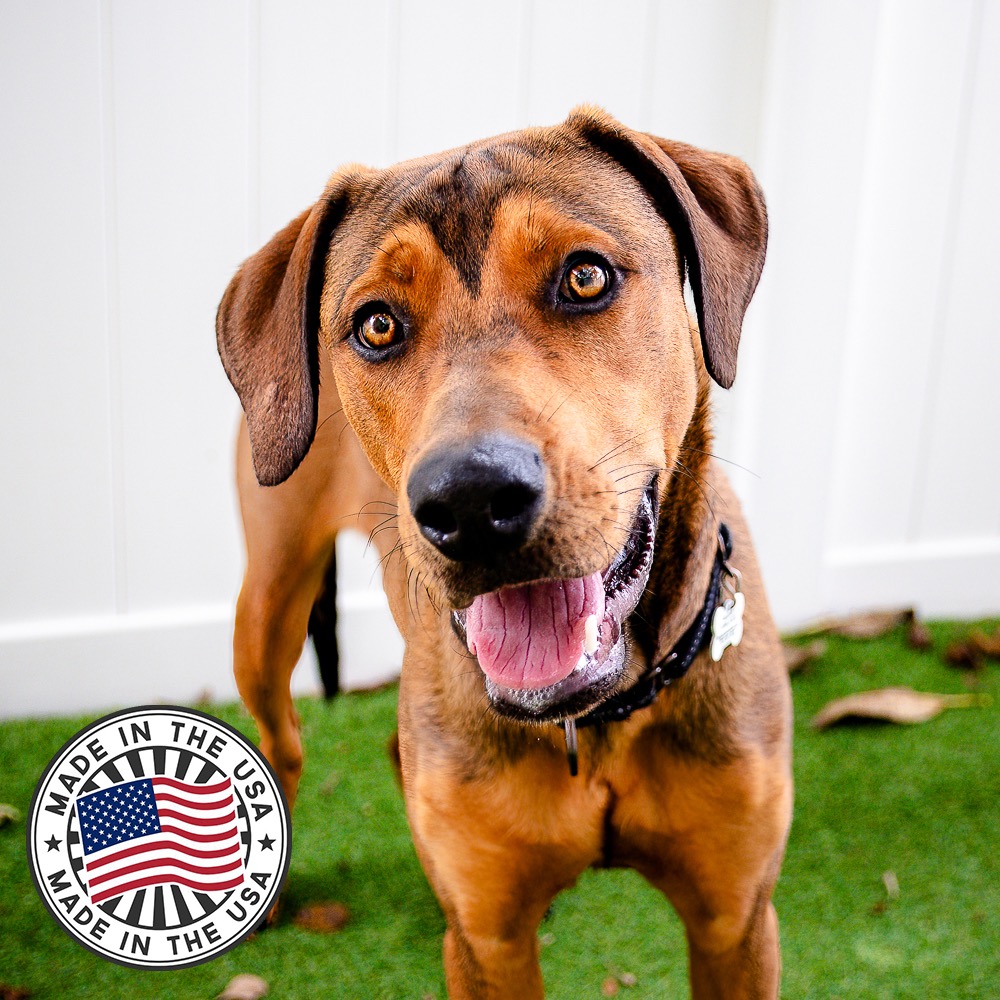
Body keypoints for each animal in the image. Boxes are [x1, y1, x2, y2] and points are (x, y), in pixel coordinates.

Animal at [217, 106, 792, 998]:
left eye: (585, 277)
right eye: (376, 324)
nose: (469, 501)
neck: (596, 719)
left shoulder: (735, 923)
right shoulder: (491, 944)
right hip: (268, 608)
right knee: (284, 741)